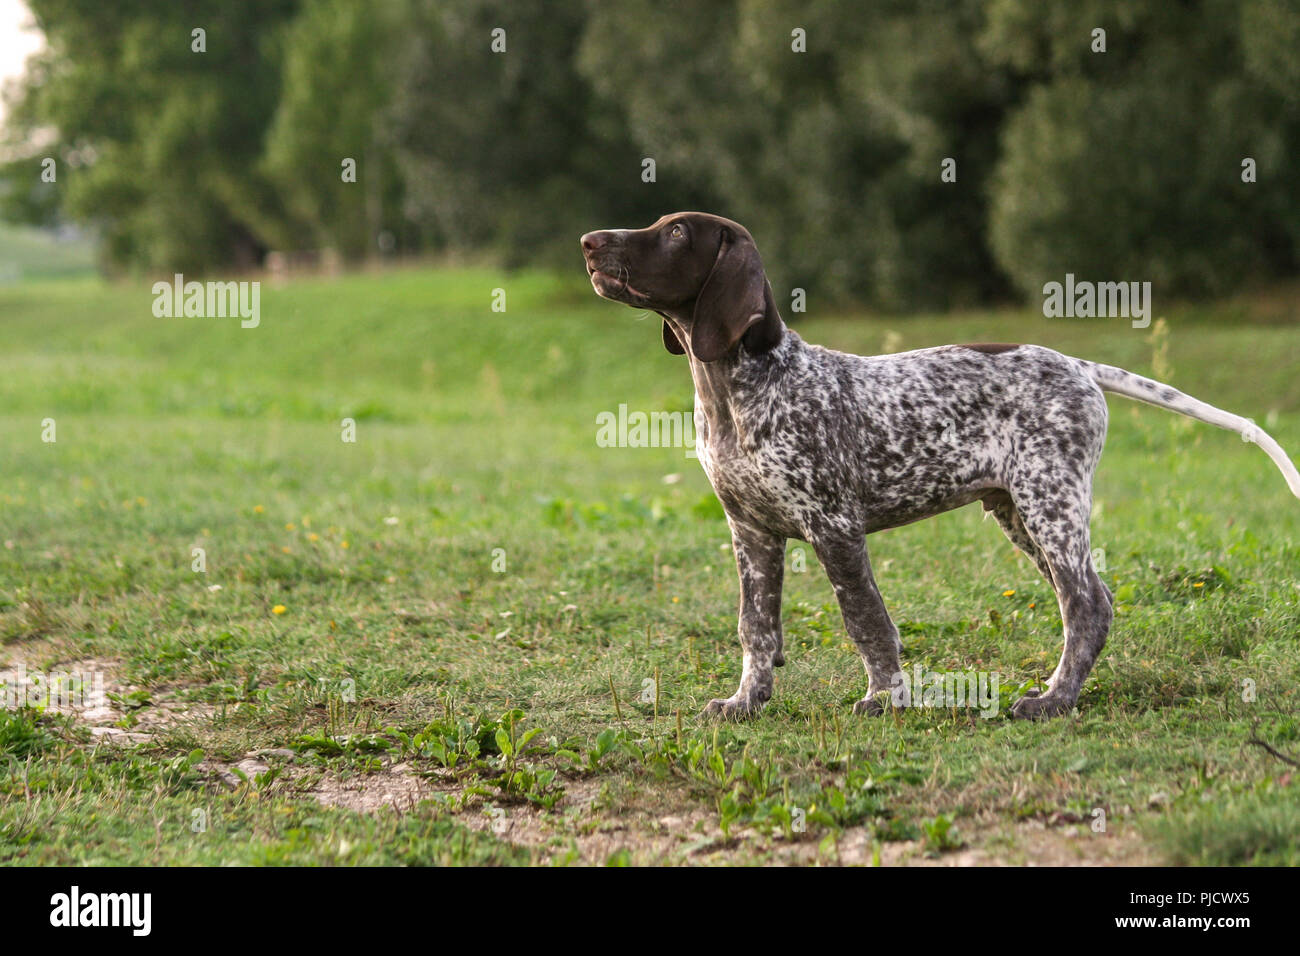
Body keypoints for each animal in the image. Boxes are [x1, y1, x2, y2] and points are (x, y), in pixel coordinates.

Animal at [582, 209, 1300, 717]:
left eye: (676, 232)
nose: (589, 240)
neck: (736, 387)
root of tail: (1076, 365)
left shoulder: (834, 528)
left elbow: (866, 620)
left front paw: (886, 697)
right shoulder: (751, 533)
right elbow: (756, 629)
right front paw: (745, 702)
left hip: (1049, 502)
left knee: (1086, 605)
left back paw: (1053, 702)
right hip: (1018, 511)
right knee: (1085, 602)